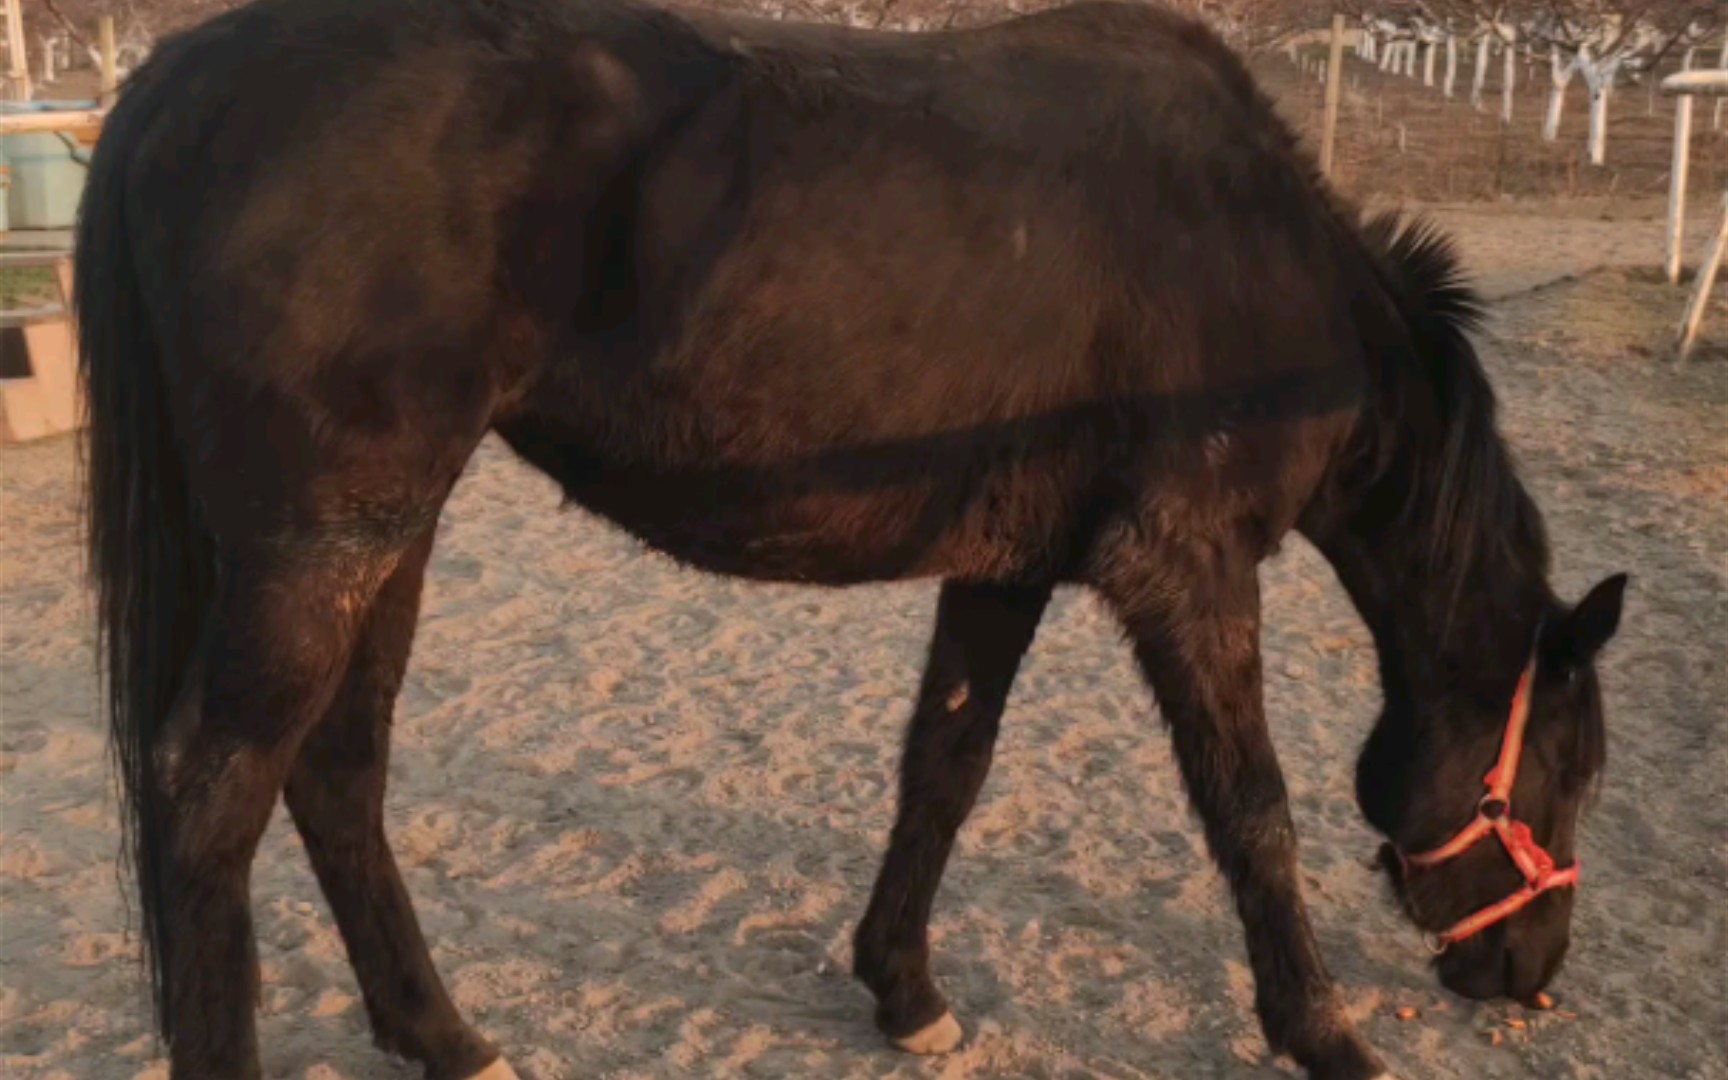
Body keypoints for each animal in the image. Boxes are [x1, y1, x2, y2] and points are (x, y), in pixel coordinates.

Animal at [74, 0, 1624, 1071]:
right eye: (1565, 768)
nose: (1532, 974)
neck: (1266, 276)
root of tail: (186, 76)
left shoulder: (1008, 566)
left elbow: (943, 766)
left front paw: (906, 991)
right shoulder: (1187, 569)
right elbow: (1254, 811)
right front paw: (1323, 1033)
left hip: (381, 540)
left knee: (337, 773)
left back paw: (444, 1036)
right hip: (322, 544)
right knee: (212, 793)